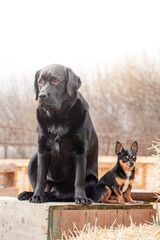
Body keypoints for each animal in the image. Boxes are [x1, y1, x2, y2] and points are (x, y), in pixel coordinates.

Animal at [17, 64, 98, 204]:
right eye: (40, 82)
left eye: (56, 81)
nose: (42, 95)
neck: (58, 119)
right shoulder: (42, 150)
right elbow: (41, 179)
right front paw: (37, 196)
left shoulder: (80, 150)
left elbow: (78, 180)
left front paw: (81, 198)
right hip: (33, 159)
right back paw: (29, 194)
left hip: (92, 181)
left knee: (60, 193)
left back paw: (50, 195)